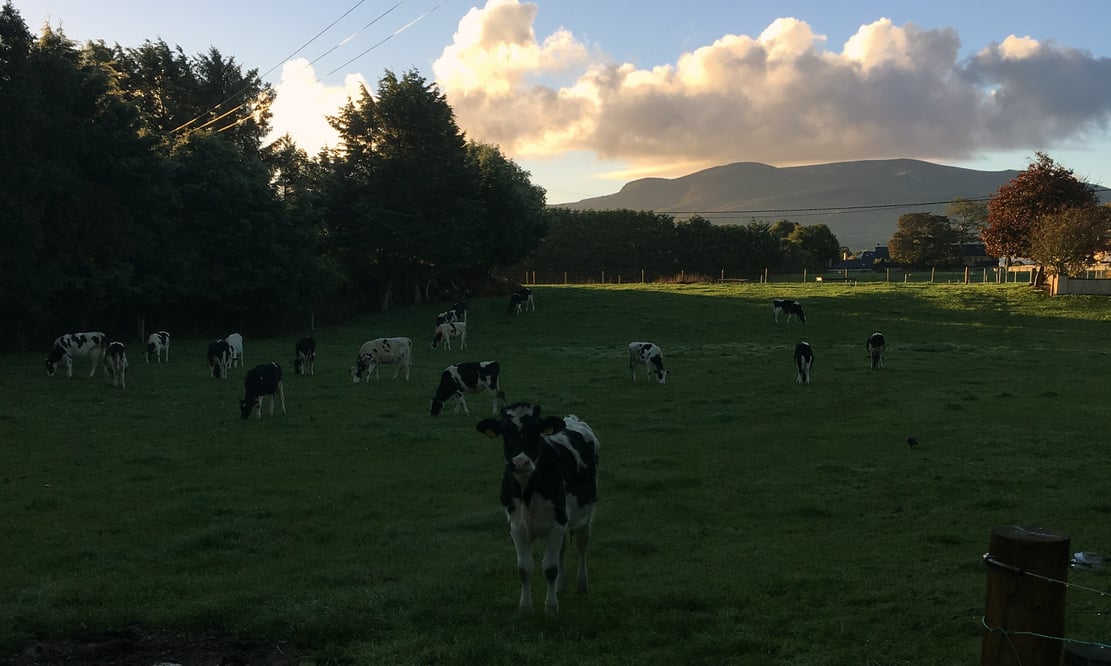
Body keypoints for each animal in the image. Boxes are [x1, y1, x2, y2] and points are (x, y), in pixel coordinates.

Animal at [475, 400, 599, 613]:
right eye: (505, 431)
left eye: (536, 431)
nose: (521, 462)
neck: (527, 492)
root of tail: (572, 419)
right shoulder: (517, 527)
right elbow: (524, 569)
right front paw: (525, 608)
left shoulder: (557, 523)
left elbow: (550, 568)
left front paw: (551, 608)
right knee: (562, 550)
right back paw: (560, 586)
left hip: (584, 516)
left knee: (582, 546)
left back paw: (582, 584)